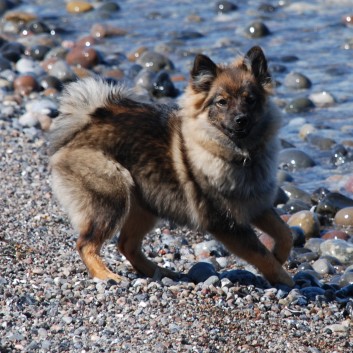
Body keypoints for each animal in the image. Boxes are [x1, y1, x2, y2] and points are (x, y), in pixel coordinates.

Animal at [48, 44, 292, 286]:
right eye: (222, 102)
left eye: (250, 100)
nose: (241, 119)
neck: (241, 154)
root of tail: (85, 124)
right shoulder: (225, 222)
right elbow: (260, 253)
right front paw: (285, 278)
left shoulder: (256, 203)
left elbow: (285, 232)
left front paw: (280, 256)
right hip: (113, 198)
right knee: (86, 244)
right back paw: (106, 274)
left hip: (145, 206)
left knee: (126, 245)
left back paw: (159, 271)